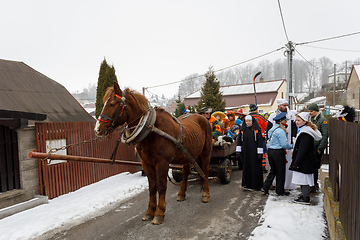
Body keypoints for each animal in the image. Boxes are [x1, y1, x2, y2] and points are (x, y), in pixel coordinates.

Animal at [94, 81, 212, 224]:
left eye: (112, 104)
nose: (98, 129)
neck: (151, 129)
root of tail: (201, 117)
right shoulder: (146, 163)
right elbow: (152, 187)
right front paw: (150, 211)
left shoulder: (162, 162)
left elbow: (161, 186)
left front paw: (159, 212)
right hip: (187, 154)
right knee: (185, 171)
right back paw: (181, 194)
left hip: (206, 152)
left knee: (205, 170)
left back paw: (206, 194)